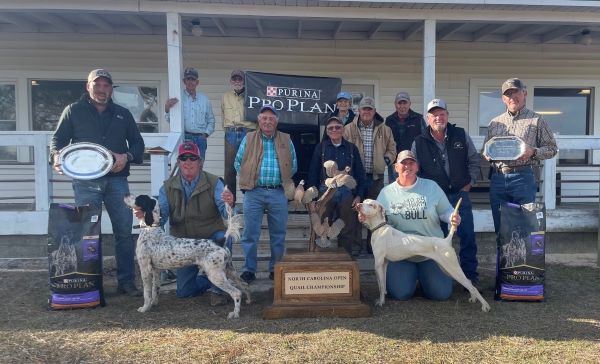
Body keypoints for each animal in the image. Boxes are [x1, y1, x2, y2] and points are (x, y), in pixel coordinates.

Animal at [356, 199, 488, 312]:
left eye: (371, 205)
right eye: (364, 201)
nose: (358, 205)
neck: (380, 229)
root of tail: (446, 241)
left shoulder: (378, 263)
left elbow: (381, 285)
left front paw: (381, 302)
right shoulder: (383, 264)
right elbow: (382, 285)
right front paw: (382, 298)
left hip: (452, 268)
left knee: (471, 285)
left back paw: (485, 306)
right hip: (446, 269)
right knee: (469, 282)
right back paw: (473, 299)